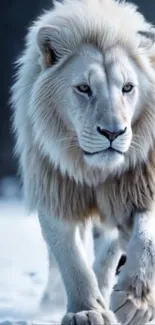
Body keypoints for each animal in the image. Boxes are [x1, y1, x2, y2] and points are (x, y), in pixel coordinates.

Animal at [11, 0, 155, 322]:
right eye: (84, 88)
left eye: (128, 88)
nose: (113, 132)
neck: (95, 173)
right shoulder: (56, 191)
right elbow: (70, 258)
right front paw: (86, 311)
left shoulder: (137, 187)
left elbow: (145, 238)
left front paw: (134, 303)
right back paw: (52, 301)